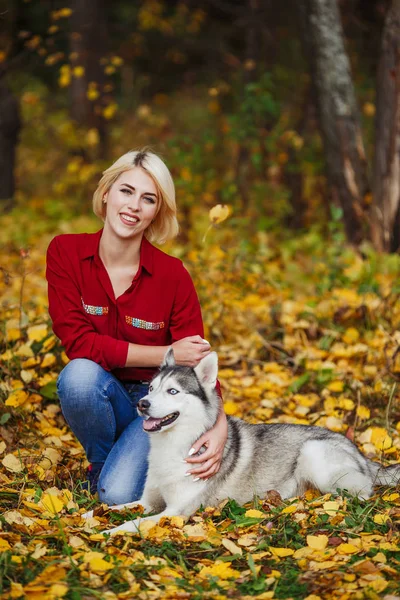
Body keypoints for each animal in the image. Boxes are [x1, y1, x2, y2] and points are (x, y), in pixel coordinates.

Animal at [86, 346, 400, 536]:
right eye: (151, 388)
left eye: (173, 391)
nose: (142, 404)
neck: (175, 446)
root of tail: (361, 454)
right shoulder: (147, 501)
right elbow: (116, 508)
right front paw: (89, 515)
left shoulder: (175, 512)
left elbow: (134, 522)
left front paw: (108, 532)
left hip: (315, 454)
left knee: (361, 492)